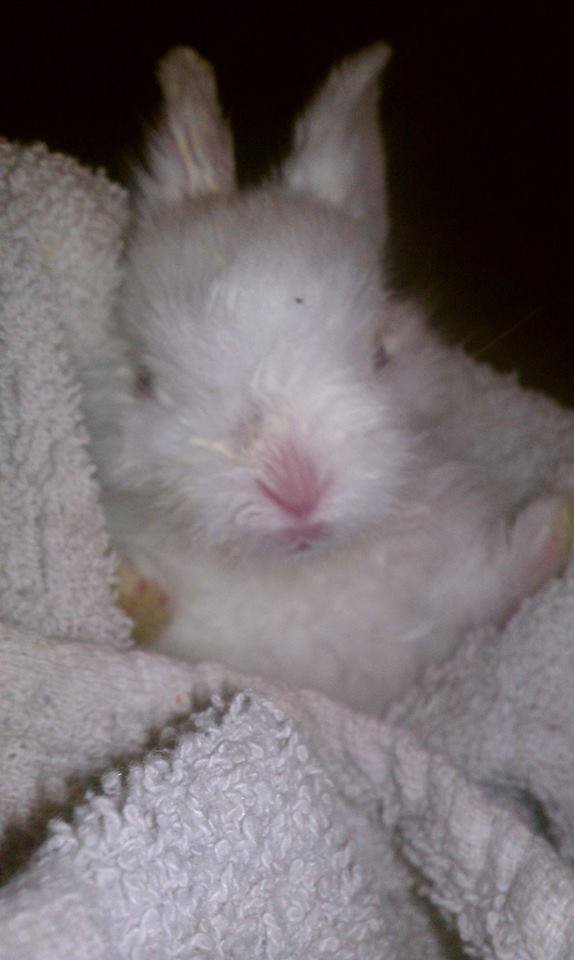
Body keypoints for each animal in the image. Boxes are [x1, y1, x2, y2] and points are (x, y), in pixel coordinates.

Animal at [84, 43, 573, 714]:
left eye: (379, 351)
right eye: (143, 378)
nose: (296, 489)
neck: (300, 577)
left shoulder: (449, 605)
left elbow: (496, 584)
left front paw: (559, 518)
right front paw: (133, 589)